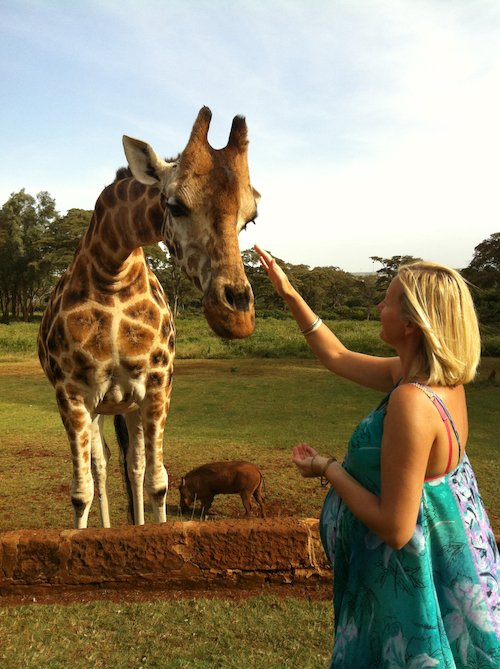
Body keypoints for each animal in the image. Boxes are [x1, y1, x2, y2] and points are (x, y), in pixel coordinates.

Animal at [37, 107, 260, 528]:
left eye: (250, 218)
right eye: (175, 206)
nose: (236, 315)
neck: (112, 275)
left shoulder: (157, 387)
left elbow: (157, 481)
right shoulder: (71, 394)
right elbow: (80, 492)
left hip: (128, 407)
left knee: (133, 465)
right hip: (101, 409)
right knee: (102, 466)